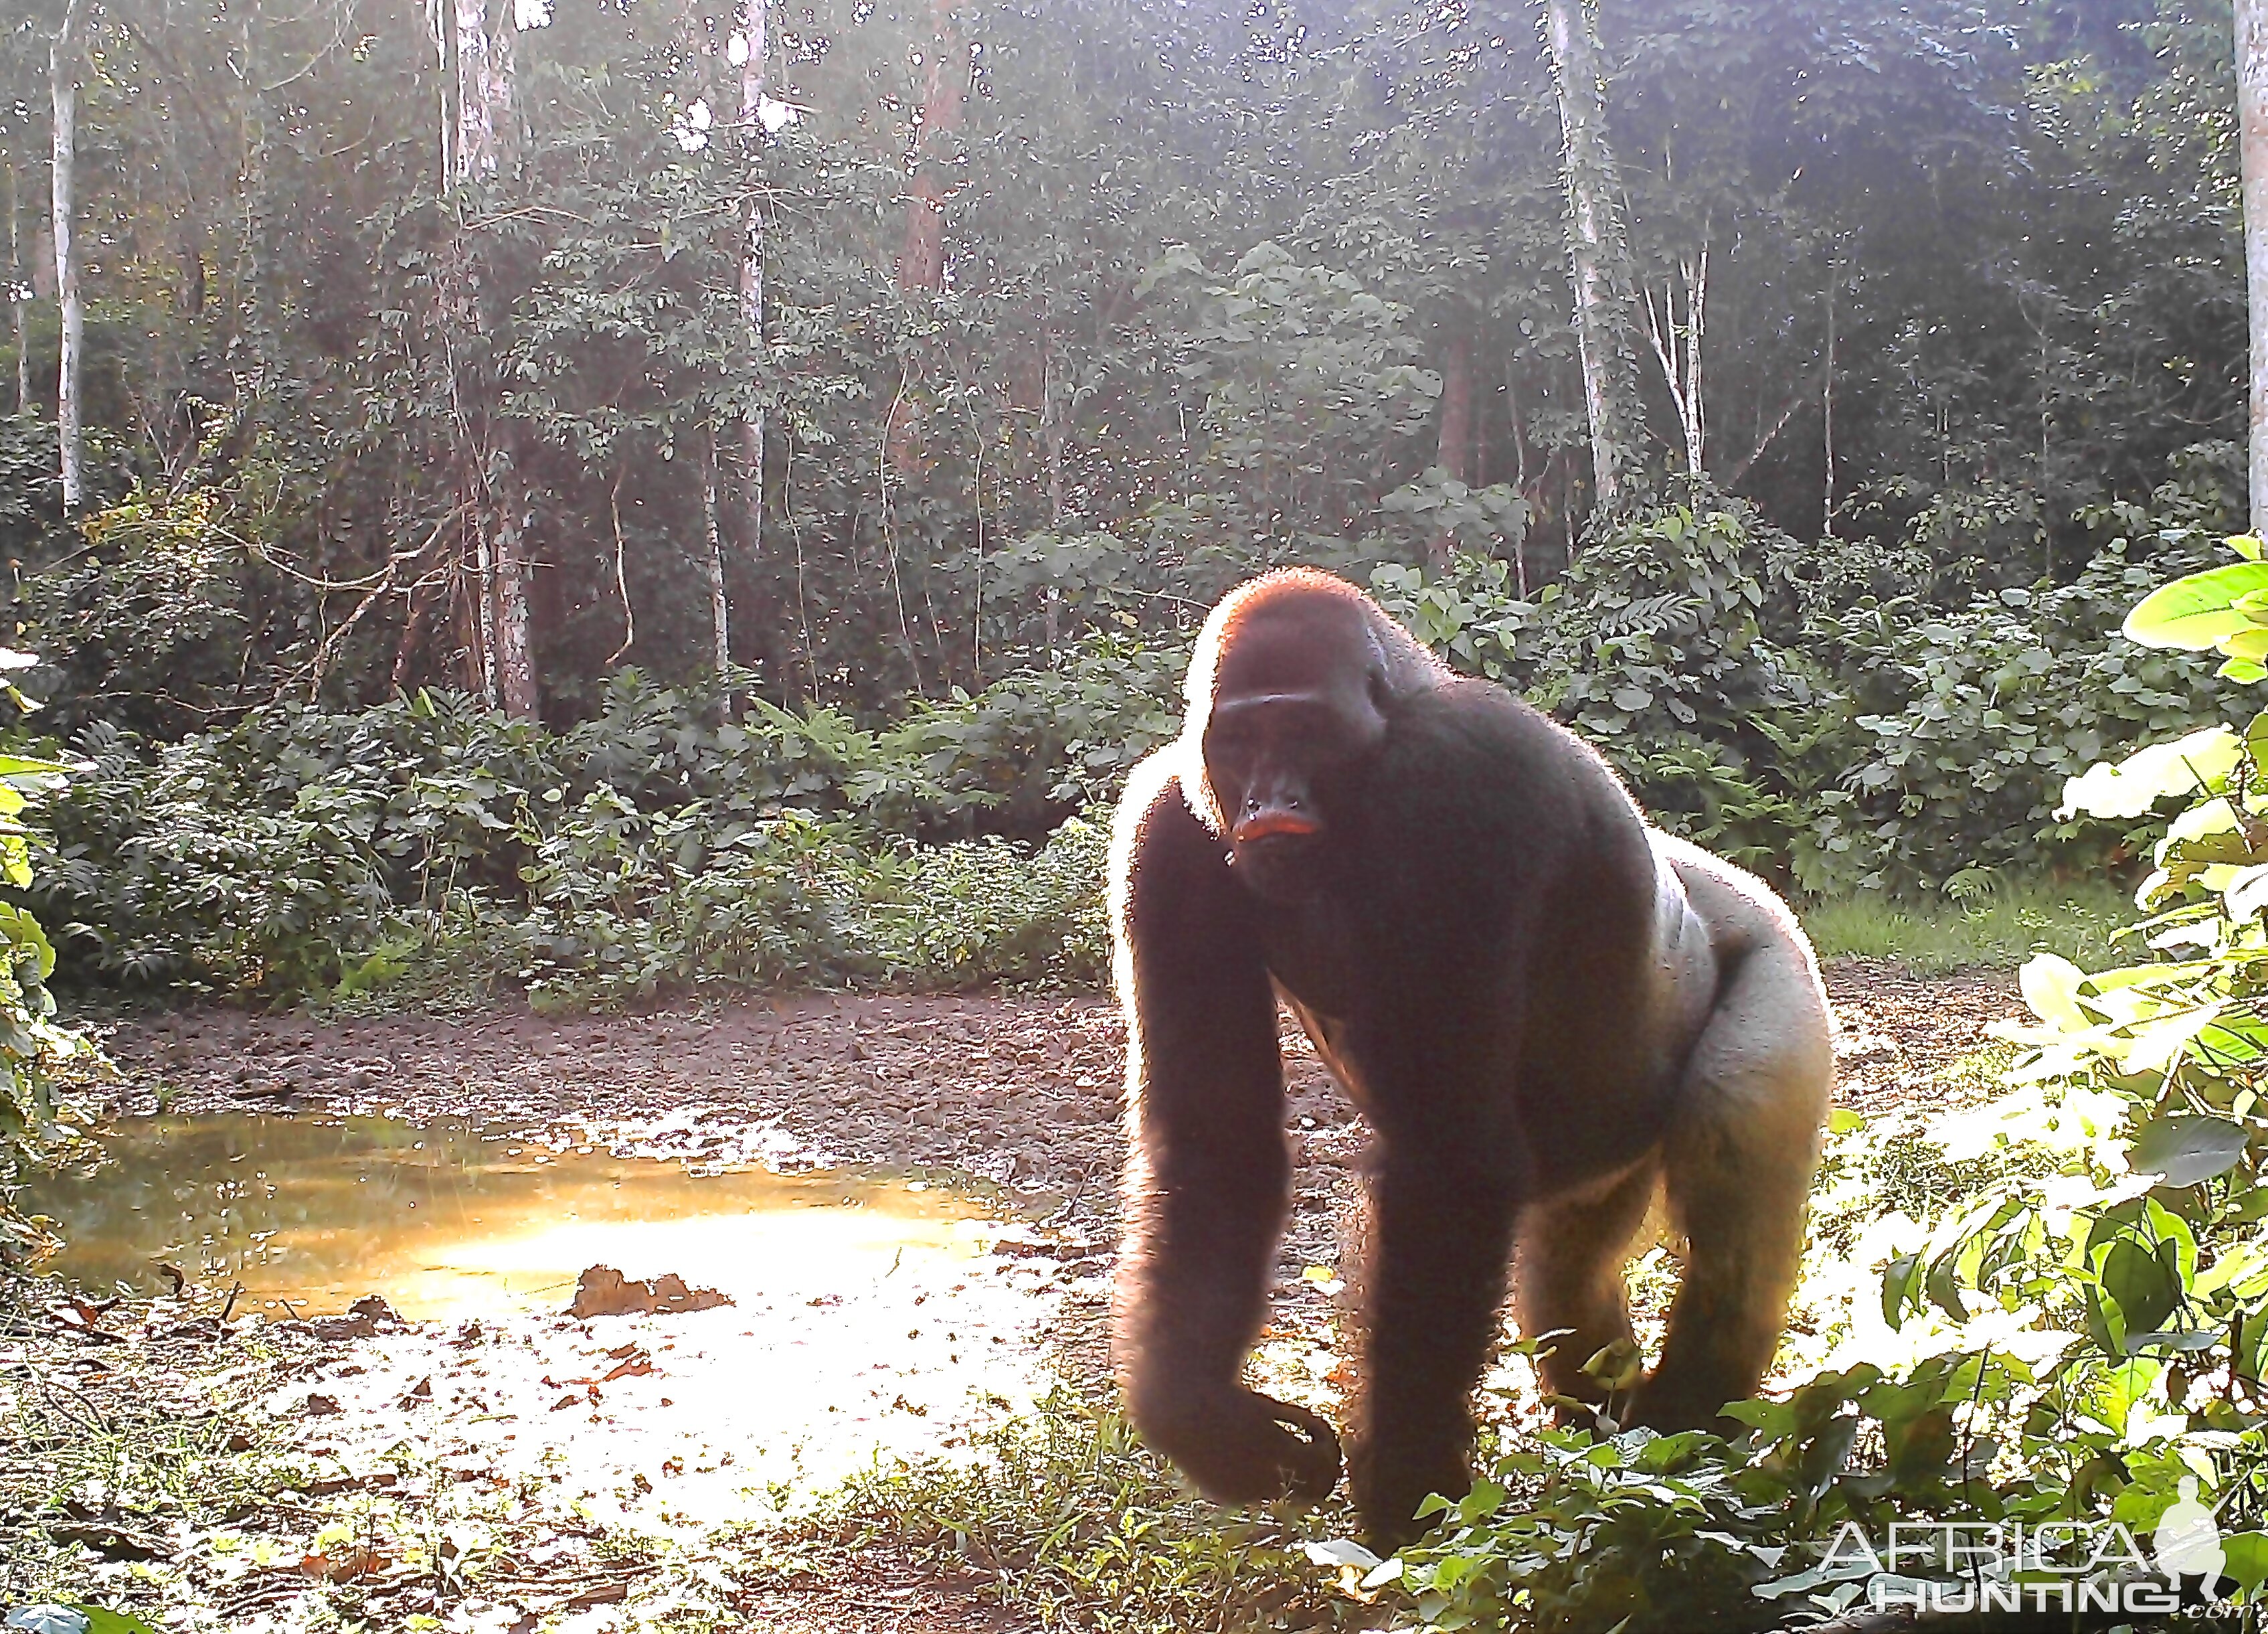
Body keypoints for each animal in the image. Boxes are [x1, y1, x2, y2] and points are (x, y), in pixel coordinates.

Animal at [1106, 572, 1832, 1543]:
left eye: (1303, 732)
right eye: (1239, 741)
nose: (1267, 803)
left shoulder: (1460, 783)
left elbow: (1448, 1161)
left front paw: (1407, 1488)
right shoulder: (1167, 832)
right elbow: (1214, 1139)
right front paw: (1207, 1421)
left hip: (1779, 962)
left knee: (1731, 1168)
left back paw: (1688, 1450)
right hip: (1596, 1166)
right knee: (1566, 1279)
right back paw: (1613, 1443)